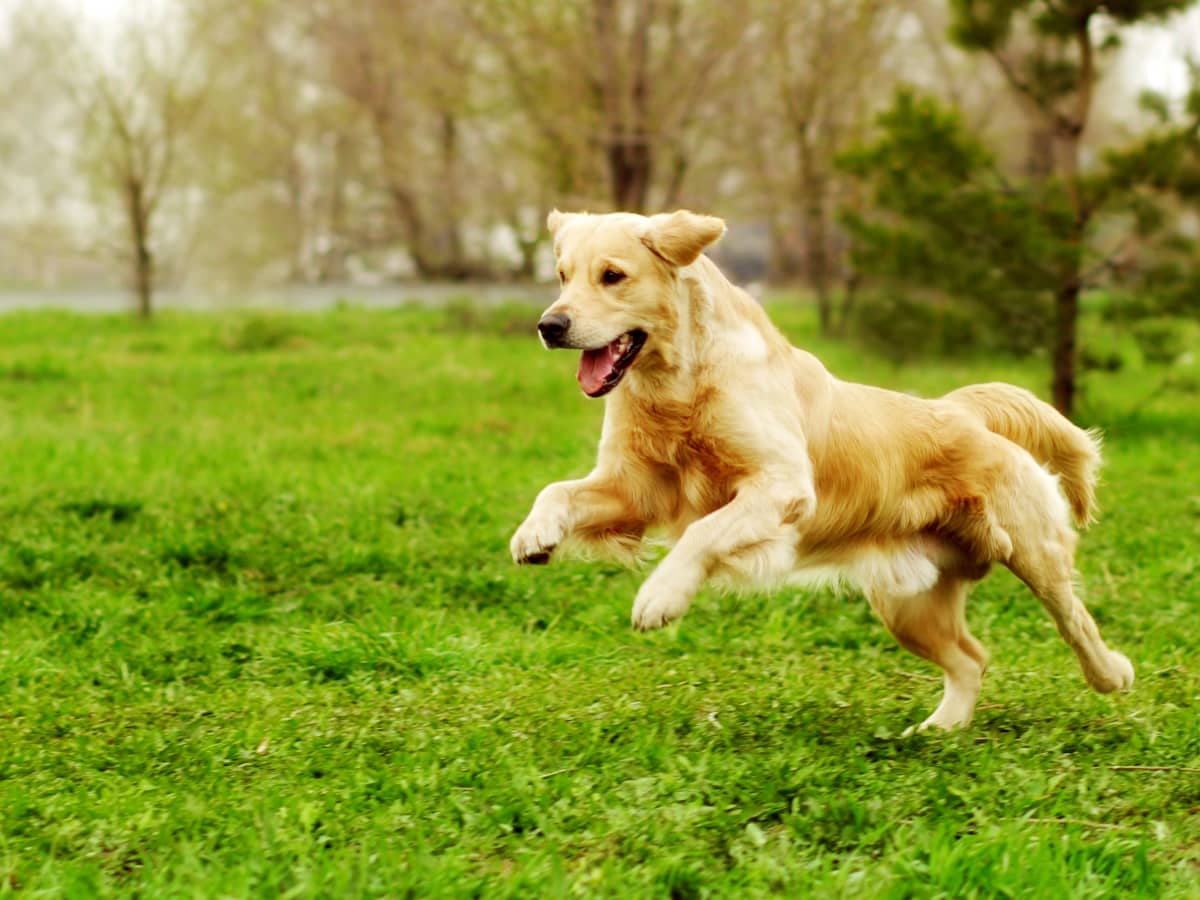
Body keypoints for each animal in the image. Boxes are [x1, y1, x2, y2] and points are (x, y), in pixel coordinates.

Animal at [508, 210, 1132, 734]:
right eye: (562, 275)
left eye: (612, 276)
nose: (549, 325)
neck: (679, 385)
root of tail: (961, 410)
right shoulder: (636, 489)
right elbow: (558, 490)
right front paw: (534, 535)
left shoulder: (780, 486)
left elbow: (702, 533)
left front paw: (660, 597)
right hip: (907, 603)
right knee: (970, 660)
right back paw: (939, 731)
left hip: (1033, 552)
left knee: (1074, 622)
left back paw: (1111, 674)